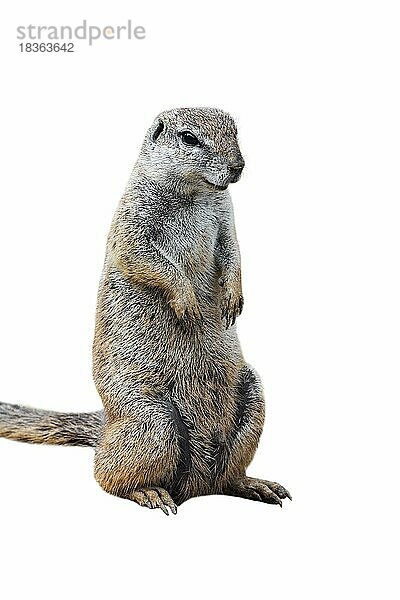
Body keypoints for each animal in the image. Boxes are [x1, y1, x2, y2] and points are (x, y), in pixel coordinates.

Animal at [1, 108, 292, 516]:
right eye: (188, 138)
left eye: (236, 131)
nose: (238, 166)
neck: (195, 194)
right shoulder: (132, 220)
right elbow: (143, 257)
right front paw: (188, 302)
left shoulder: (227, 217)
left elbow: (233, 252)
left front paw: (232, 300)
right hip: (153, 422)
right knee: (106, 476)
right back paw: (151, 493)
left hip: (253, 399)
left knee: (227, 477)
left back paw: (255, 484)